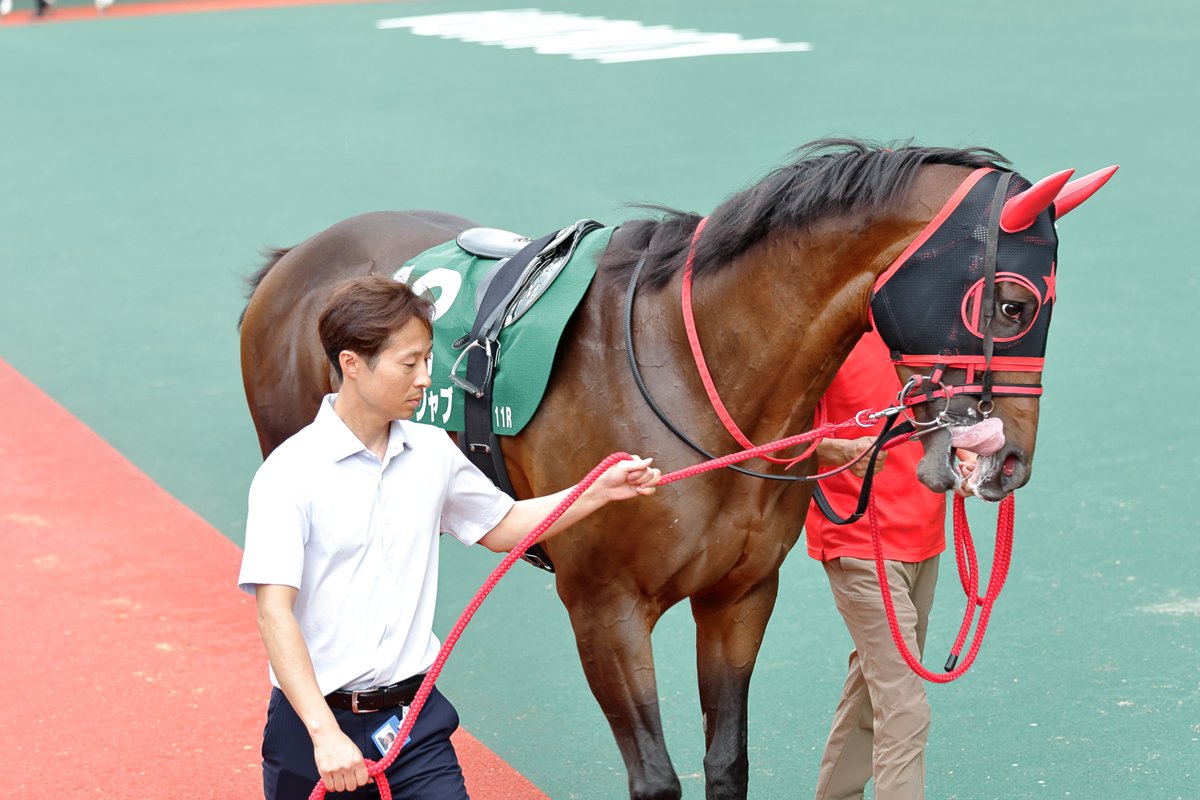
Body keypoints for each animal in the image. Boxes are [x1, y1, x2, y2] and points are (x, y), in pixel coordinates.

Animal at [238, 139, 1114, 799]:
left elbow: (726, 763)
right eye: (1013, 304)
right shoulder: (604, 608)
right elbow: (657, 777)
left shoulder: (740, 596)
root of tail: (295, 260)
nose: (1007, 459)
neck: (695, 377)